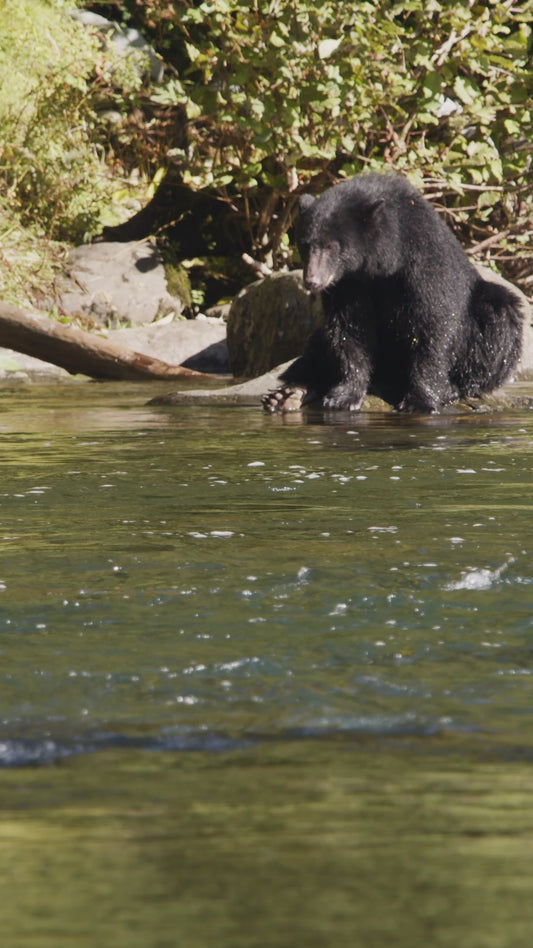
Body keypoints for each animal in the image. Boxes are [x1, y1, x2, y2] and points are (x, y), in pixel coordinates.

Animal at [264, 176, 520, 412]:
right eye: (305, 245)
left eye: (331, 247)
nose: (312, 281)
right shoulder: (347, 284)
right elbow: (347, 330)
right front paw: (345, 396)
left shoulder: (424, 260)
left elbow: (435, 322)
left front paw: (421, 400)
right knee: (316, 346)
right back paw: (288, 394)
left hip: (486, 311)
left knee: (498, 318)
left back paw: (456, 388)